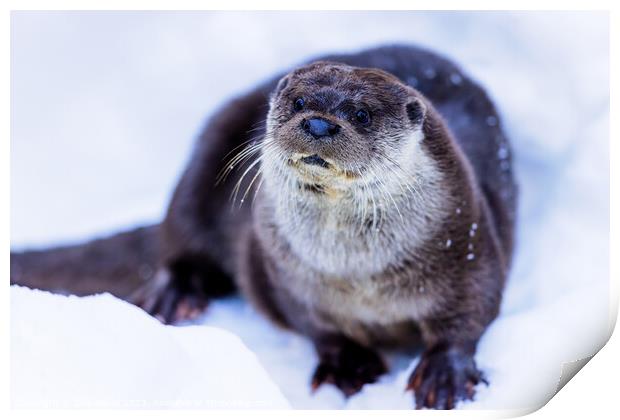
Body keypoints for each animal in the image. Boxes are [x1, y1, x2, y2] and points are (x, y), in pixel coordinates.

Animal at [9, 46, 516, 410]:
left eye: (361, 114)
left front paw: (445, 375)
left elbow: (474, 307)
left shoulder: (467, 240)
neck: (359, 276)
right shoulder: (286, 275)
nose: (318, 123)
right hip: (206, 154)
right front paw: (349, 366)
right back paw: (175, 294)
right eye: (299, 102)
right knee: (181, 241)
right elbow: (316, 325)